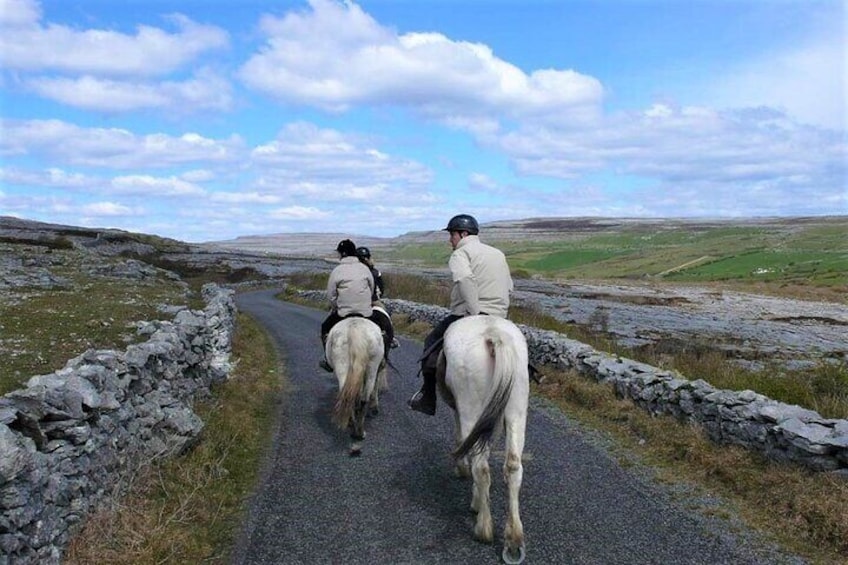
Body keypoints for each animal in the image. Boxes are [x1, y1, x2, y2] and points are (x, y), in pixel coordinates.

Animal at [324, 318, 388, 454]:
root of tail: (355, 329)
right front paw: (375, 408)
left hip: (343, 367)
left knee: (351, 397)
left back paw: (355, 429)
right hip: (371, 367)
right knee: (363, 397)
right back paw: (359, 432)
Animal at [440, 316, 528, 560]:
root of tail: (494, 334)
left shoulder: (464, 414)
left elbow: (462, 441)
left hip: (471, 409)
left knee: (480, 466)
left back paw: (483, 528)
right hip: (517, 412)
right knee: (513, 466)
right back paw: (514, 538)